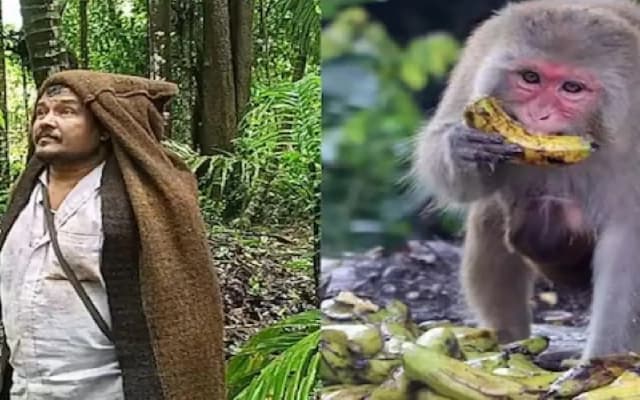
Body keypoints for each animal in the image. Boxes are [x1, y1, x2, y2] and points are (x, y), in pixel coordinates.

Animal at [412, 0, 640, 361]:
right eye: (531, 77)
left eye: (572, 88)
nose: (539, 115)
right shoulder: (479, 56)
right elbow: (441, 156)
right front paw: (459, 146)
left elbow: (626, 245)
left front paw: (601, 362)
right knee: (491, 219)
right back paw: (508, 340)